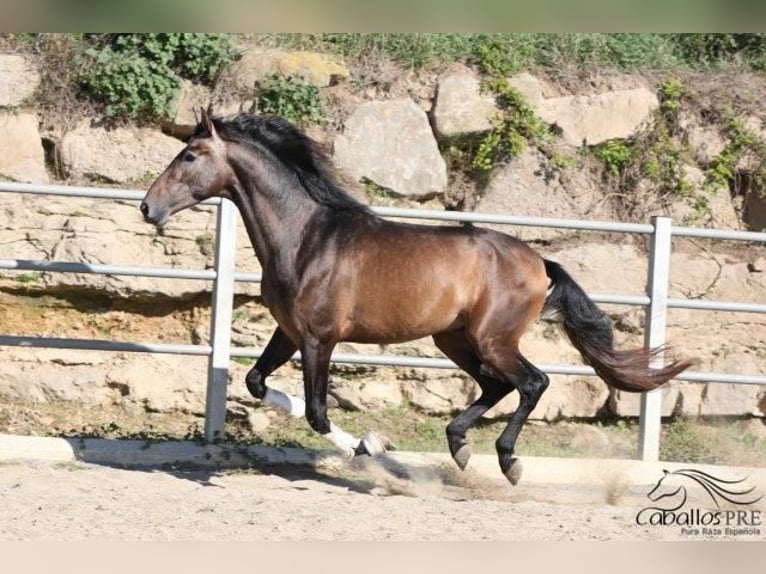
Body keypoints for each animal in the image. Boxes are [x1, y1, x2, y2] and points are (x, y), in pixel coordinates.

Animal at [140, 109, 696, 486]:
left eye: (189, 156)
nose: (148, 207)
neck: (306, 237)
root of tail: (540, 263)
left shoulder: (320, 339)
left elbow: (318, 412)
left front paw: (368, 447)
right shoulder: (291, 331)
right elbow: (256, 382)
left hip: (492, 339)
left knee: (532, 383)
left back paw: (507, 461)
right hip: (454, 340)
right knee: (497, 386)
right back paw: (460, 447)